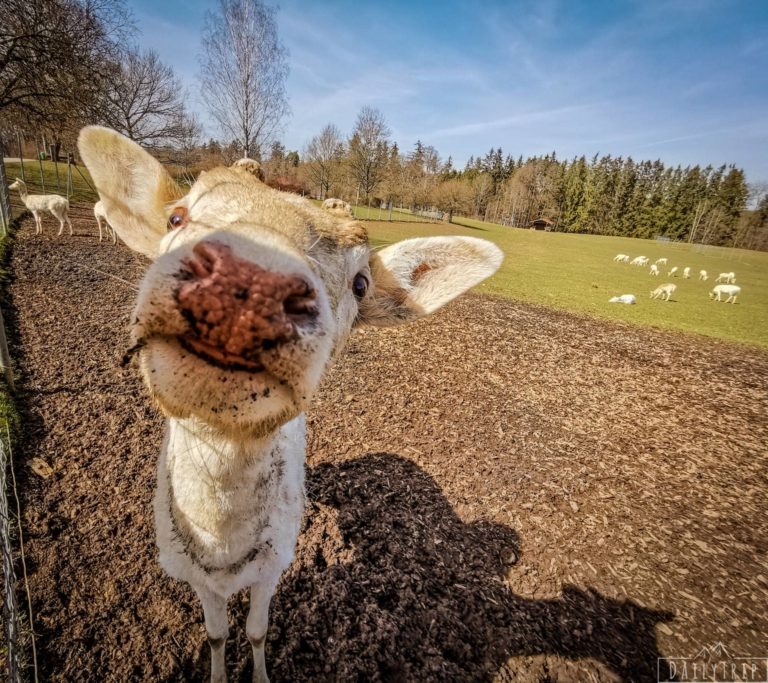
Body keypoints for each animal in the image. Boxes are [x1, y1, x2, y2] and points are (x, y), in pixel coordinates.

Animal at [78, 125, 504, 680]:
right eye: (176, 217)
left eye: (361, 283)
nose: (249, 283)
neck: (222, 547)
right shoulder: (192, 574)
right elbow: (216, 635)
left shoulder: (274, 565)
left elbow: (257, 631)